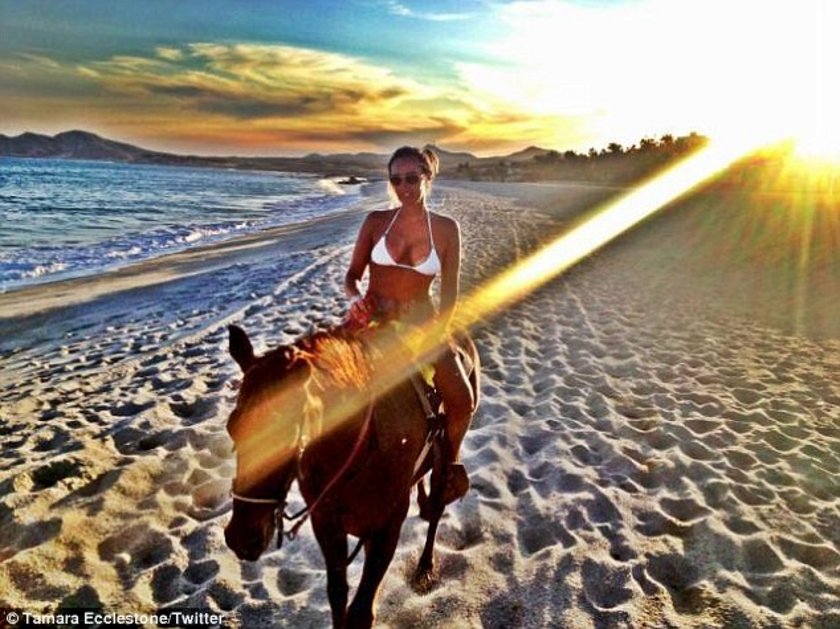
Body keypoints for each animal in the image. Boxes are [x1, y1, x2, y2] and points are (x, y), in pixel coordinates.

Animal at [223, 323, 479, 628]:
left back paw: (425, 567)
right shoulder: (327, 524)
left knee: (439, 504)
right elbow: (338, 597)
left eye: (284, 432)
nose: (240, 538)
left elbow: (360, 612)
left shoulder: (386, 528)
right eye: (232, 428)